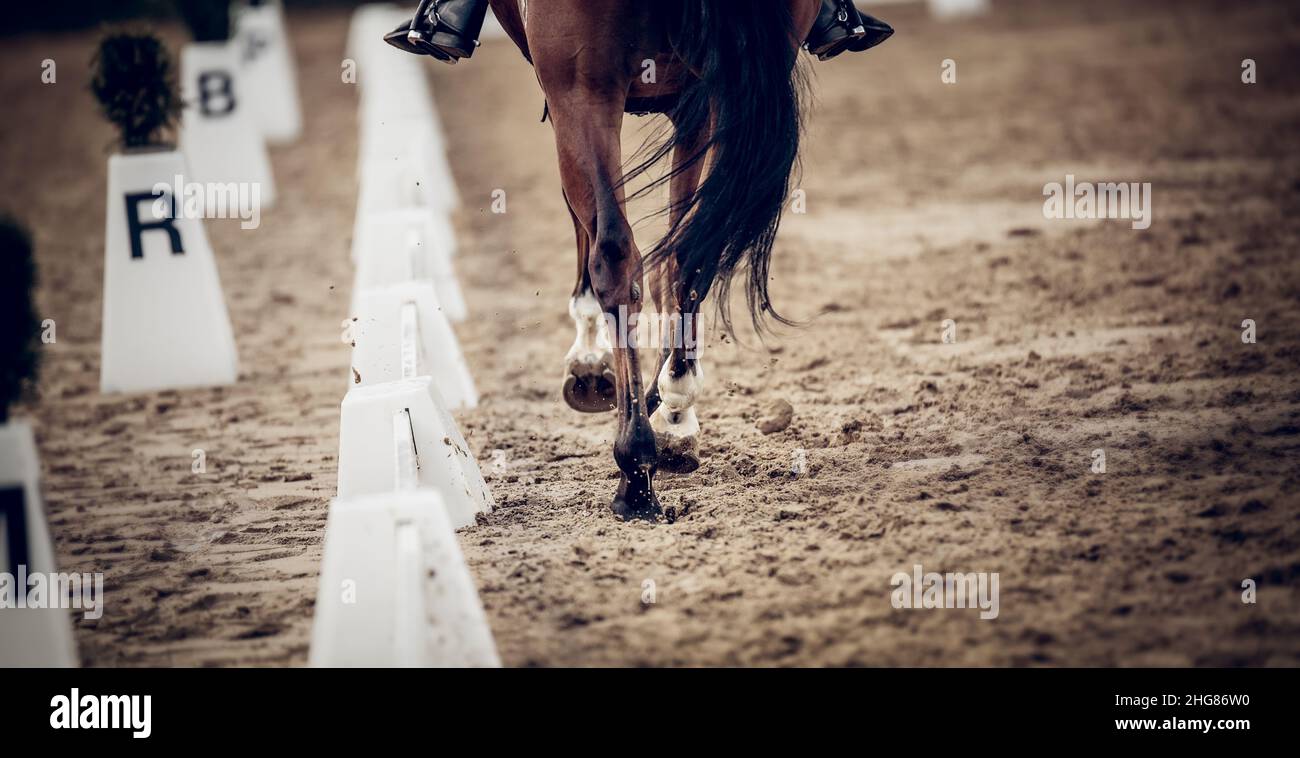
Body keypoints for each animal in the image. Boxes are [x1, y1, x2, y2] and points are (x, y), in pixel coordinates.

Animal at [487, 0, 819, 520]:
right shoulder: (695, 104)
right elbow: (681, 249)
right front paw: (673, 414)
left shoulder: (564, 97)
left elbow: (588, 231)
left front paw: (589, 363)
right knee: (689, 253)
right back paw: (672, 415)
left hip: (583, 91)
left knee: (615, 255)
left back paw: (636, 471)